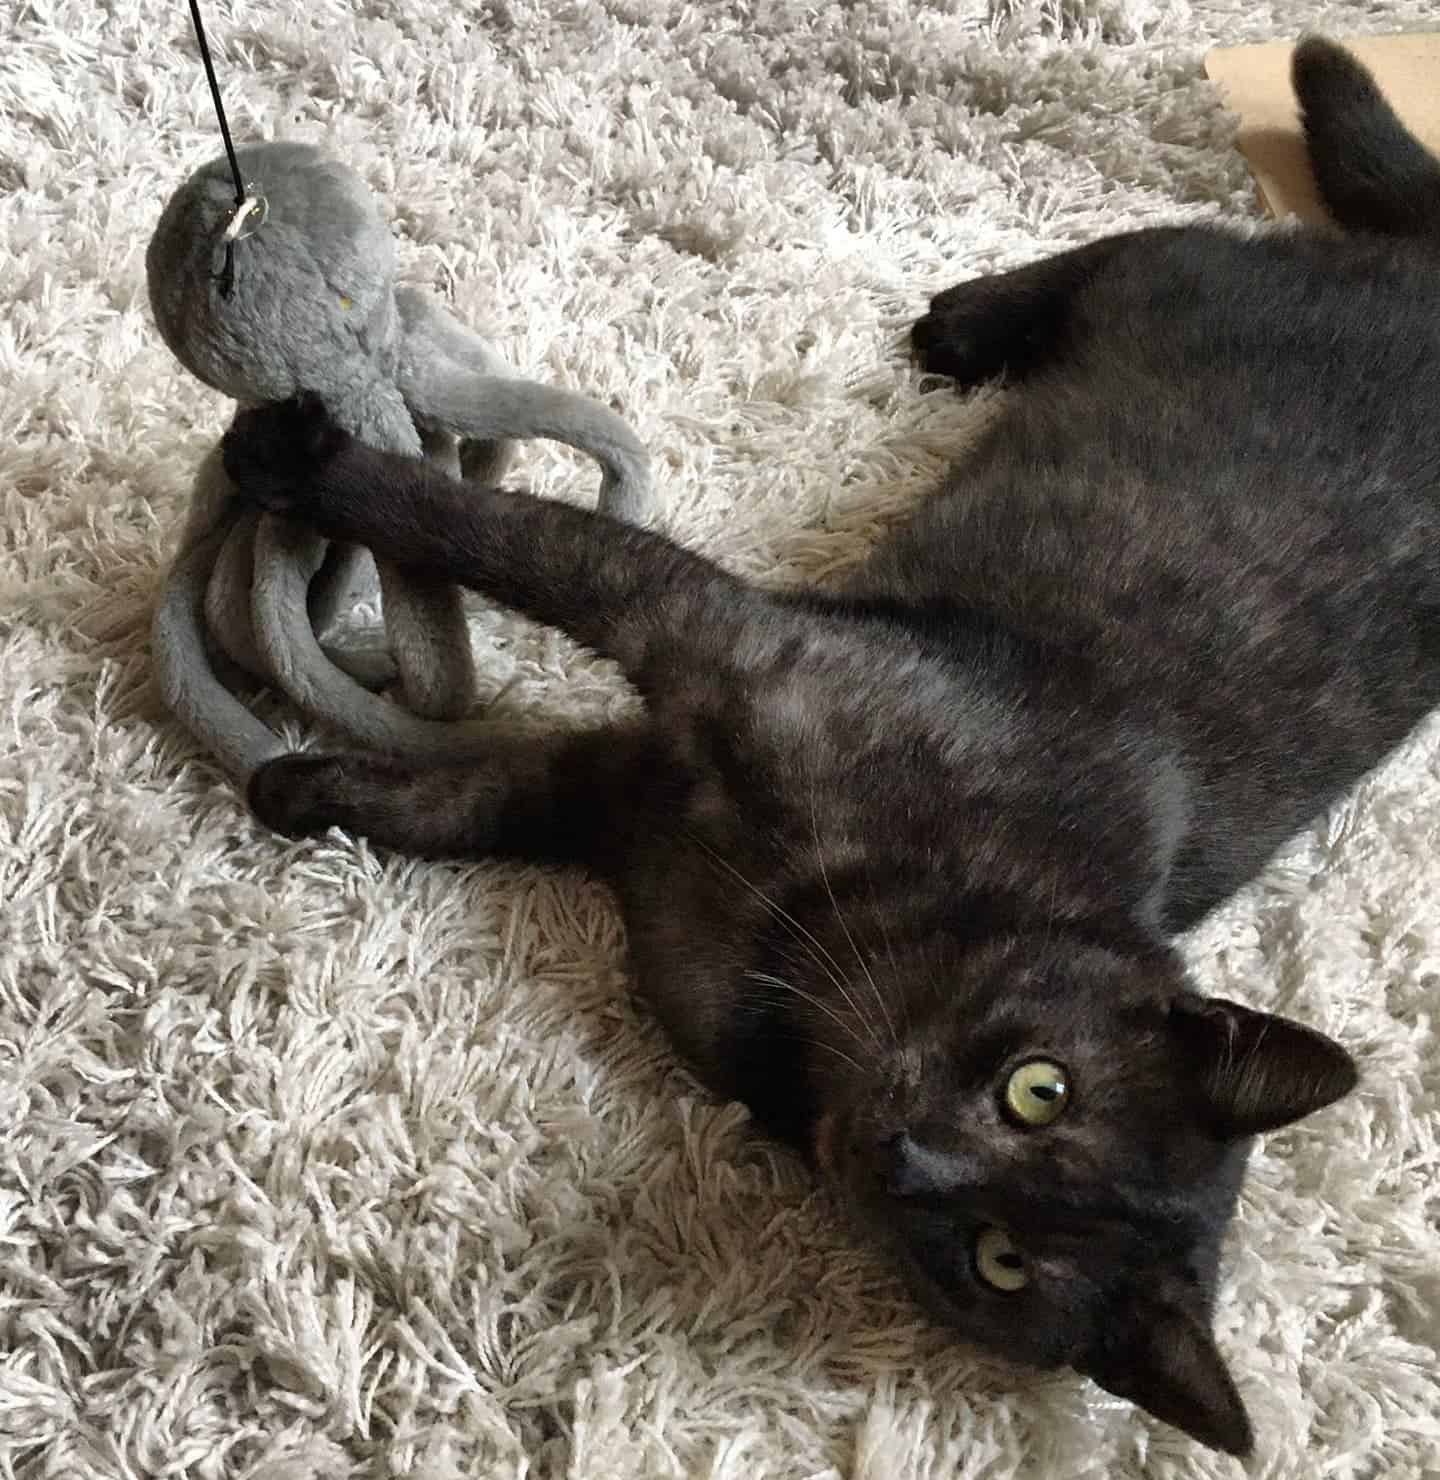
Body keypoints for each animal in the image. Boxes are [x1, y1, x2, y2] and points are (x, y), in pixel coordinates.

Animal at [216, 37, 1438, 1456]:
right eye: (1041, 1088)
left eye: (998, 1260)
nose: (908, 1156)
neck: (827, 937)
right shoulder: (695, 633)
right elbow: (506, 534)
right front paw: (300, 464)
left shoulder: (625, 793)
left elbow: (475, 796)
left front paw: (301, 784)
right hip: (1186, 296)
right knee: (1168, 235)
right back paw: (964, 321)